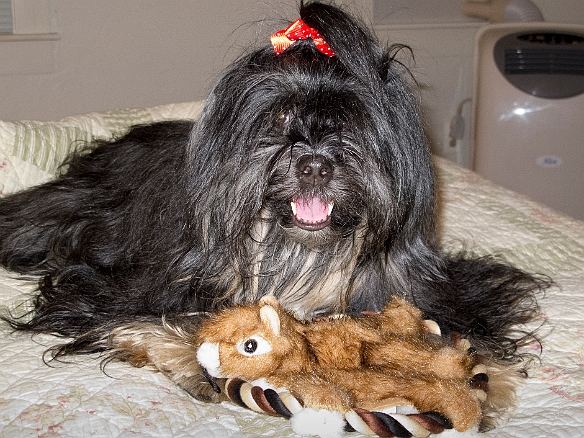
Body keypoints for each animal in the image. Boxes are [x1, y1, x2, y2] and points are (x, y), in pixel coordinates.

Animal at [1, 1, 548, 398]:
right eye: (280, 116)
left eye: (352, 121)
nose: (315, 165)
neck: (296, 251)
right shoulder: (108, 285)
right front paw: (196, 359)